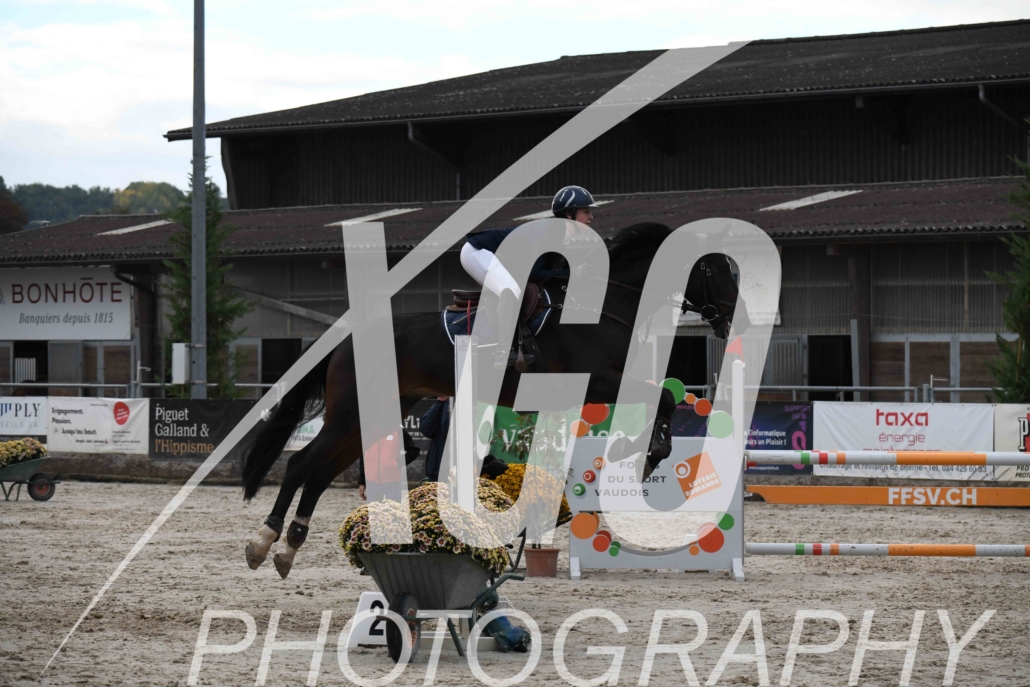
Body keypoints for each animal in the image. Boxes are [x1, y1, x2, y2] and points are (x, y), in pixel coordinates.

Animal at [240, 222, 748, 578]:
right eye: (714, 268)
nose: (735, 321)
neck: (604, 307)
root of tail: (343, 339)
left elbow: (662, 399)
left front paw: (647, 452)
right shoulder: (597, 380)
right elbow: (660, 398)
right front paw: (647, 453)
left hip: (378, 413)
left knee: (320, 472)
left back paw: (288, 547)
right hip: (349, 414)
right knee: (302, 464)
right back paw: (265, 542)